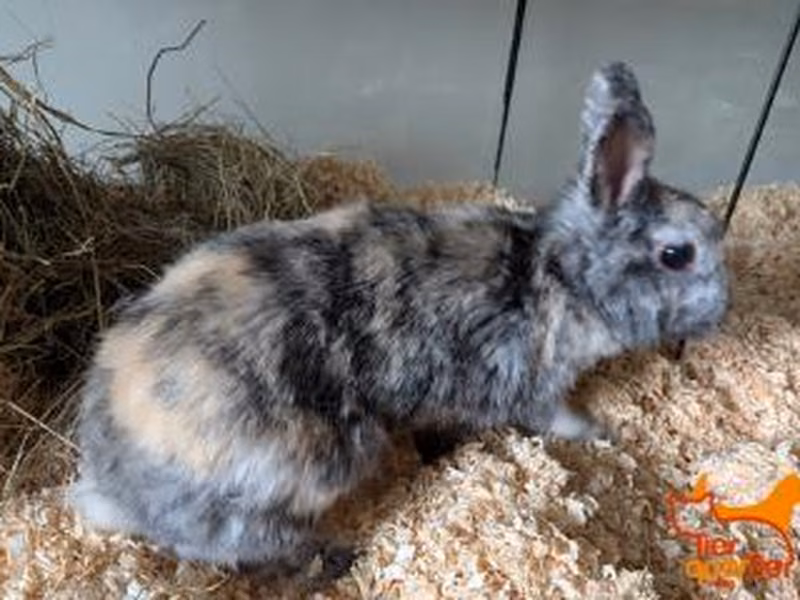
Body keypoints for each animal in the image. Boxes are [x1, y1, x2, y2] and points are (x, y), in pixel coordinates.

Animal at [70, 61, 729, 583]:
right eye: (677, 254)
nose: (724, 310)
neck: (558, 275)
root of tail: (112, 483)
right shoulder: (532, 385)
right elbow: (559, 418)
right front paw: (602, 433)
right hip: (298, 475)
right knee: (233, 545)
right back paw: (330, 558)